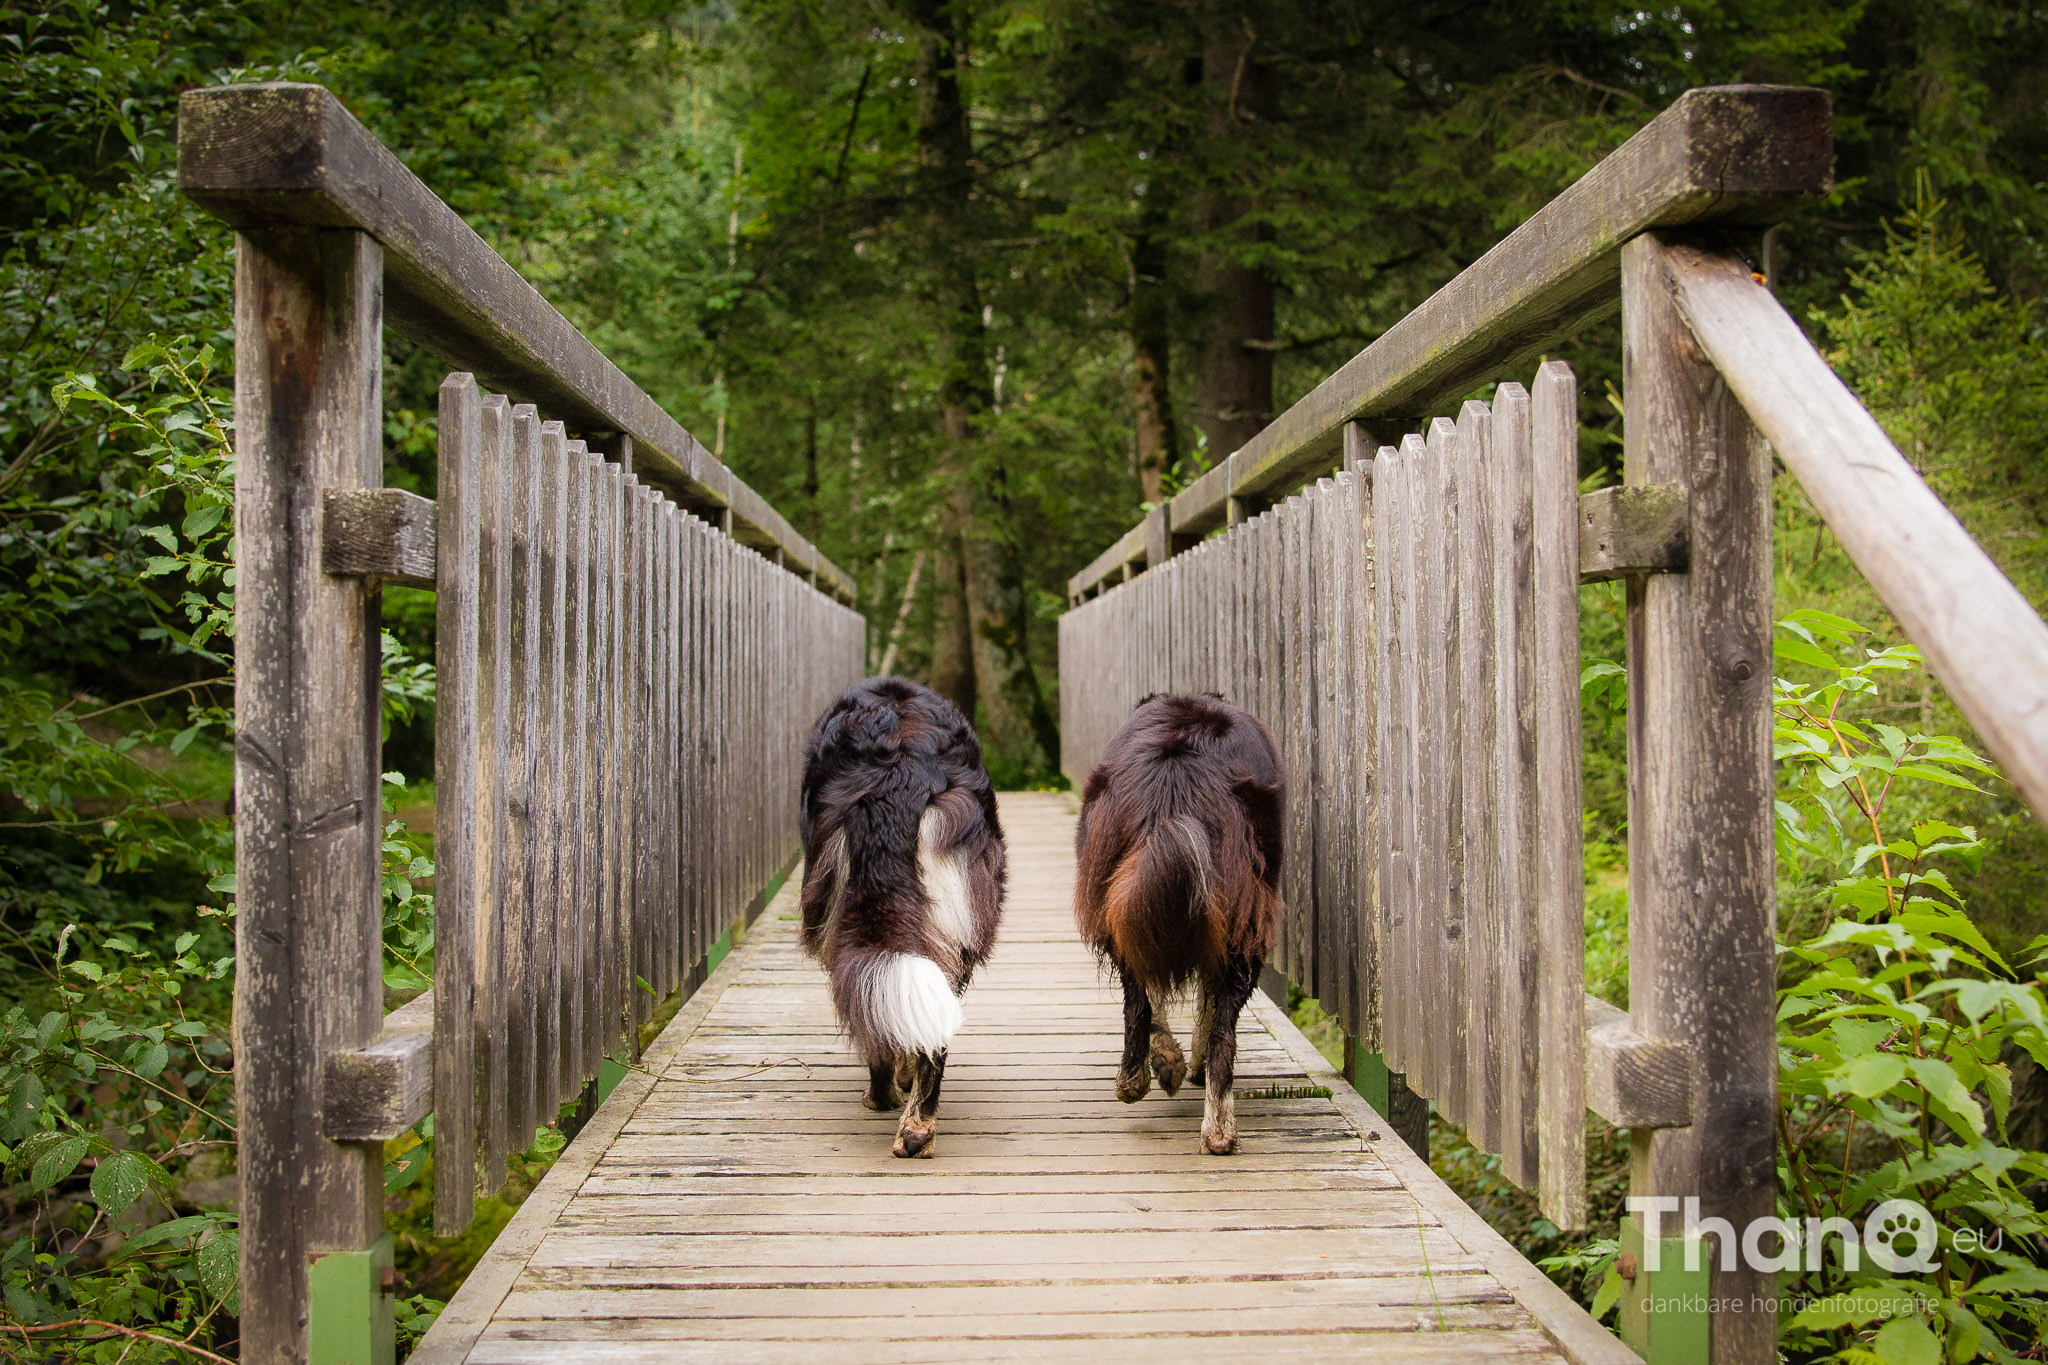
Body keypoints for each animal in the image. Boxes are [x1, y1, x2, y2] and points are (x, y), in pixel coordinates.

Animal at [794, 679, 1003, 1162]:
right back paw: (918, 1129)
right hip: (955, 923)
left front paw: (887, 1089)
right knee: (936, 1027)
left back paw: (891, 1105)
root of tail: (901, 769)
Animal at [1073, 695, 1277, 1154]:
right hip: (1242, 923)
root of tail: (1177, 772)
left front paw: (1167, 1060)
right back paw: (1218, 1129)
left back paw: (1134, 1081)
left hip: (1117, 906)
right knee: (1221, 1033)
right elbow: (1202, 1008)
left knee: (1137, 1000)